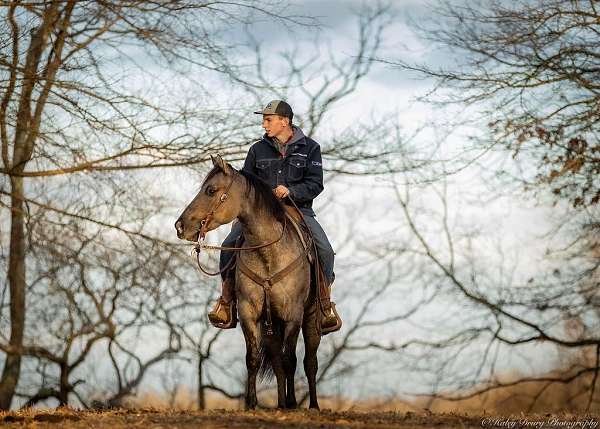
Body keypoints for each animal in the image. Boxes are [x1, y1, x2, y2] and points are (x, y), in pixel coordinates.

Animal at [175, 153, 322, 408]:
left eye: (211, 190)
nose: (180, 226)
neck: (269, 252)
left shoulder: (293, 314)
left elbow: (291, 360)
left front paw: (293, 403)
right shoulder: (248, 312)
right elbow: (253, 358)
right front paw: (251, 403)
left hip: (311, 318)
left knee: (309, 362)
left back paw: (311, 405)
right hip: (271, 327)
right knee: (276, 360)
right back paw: (280, 404)